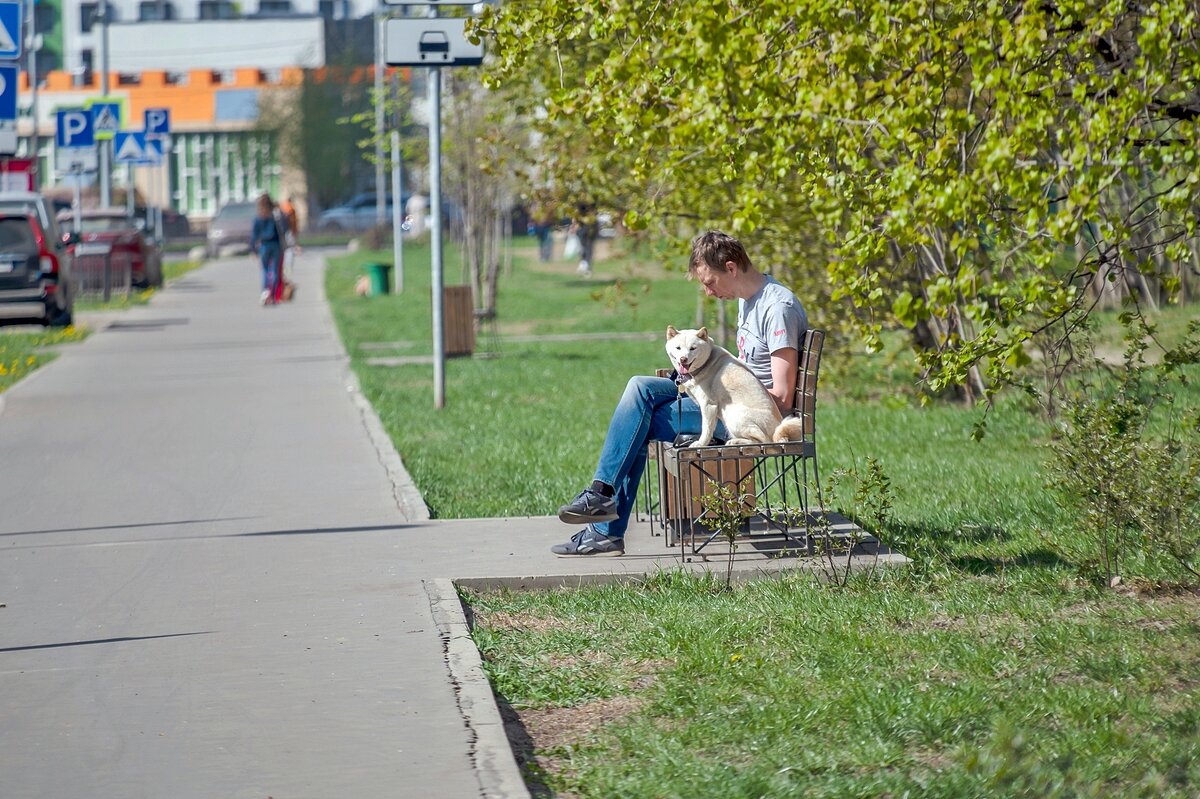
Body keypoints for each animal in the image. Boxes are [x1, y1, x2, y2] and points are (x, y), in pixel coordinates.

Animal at [667, 326, 806, 448]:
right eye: (678, 348)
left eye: (693, 348)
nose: (683, 359)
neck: (706, 362)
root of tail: (777, 429)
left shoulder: (708, 405)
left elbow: (706, 429)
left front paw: (701, 444)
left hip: (734, 414)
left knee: (763, 440)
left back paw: (736, 441)